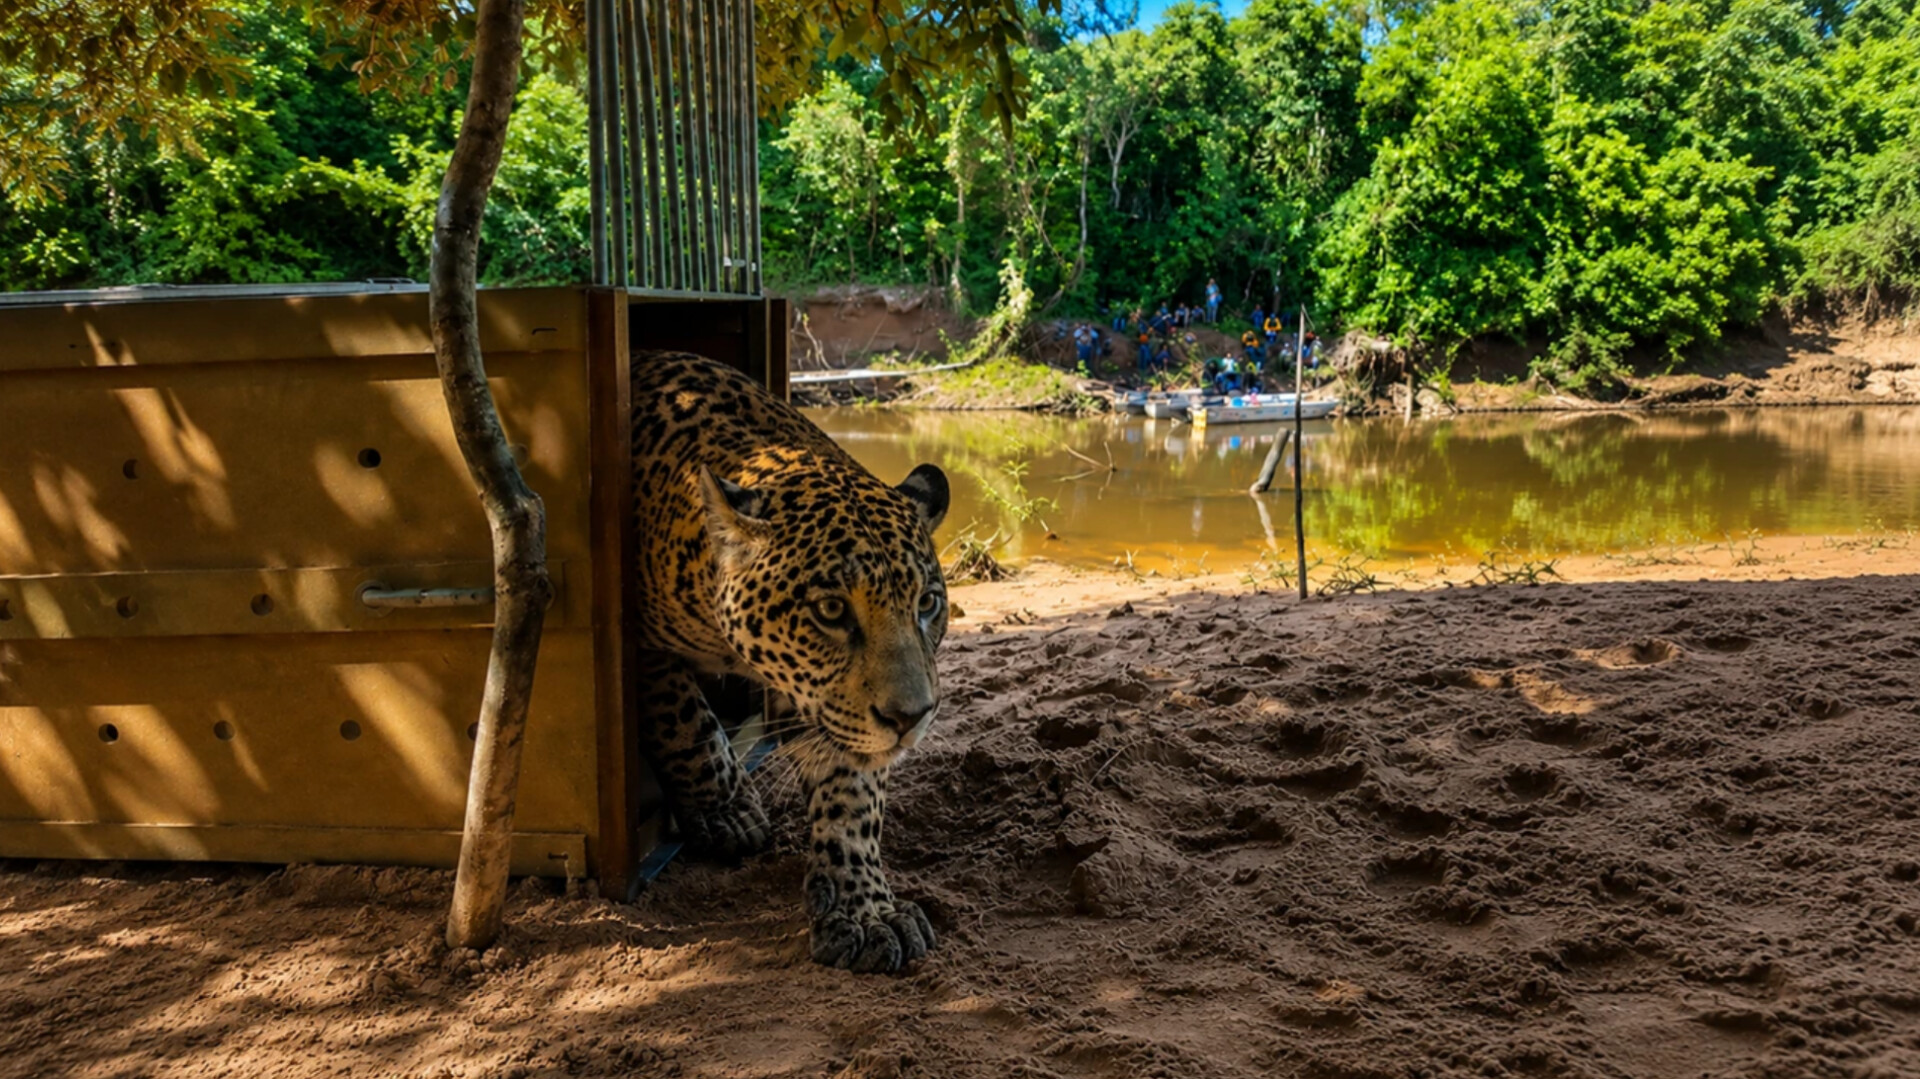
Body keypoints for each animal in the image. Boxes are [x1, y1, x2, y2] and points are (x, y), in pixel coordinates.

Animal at [630, 350, 951, 974]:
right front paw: (727, 812)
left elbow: (852, 797)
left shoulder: (834, 710)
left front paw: (865, 910)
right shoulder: (639, 639)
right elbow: (684, 717)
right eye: (830, 610)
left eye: (926, 603)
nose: (910, 719)